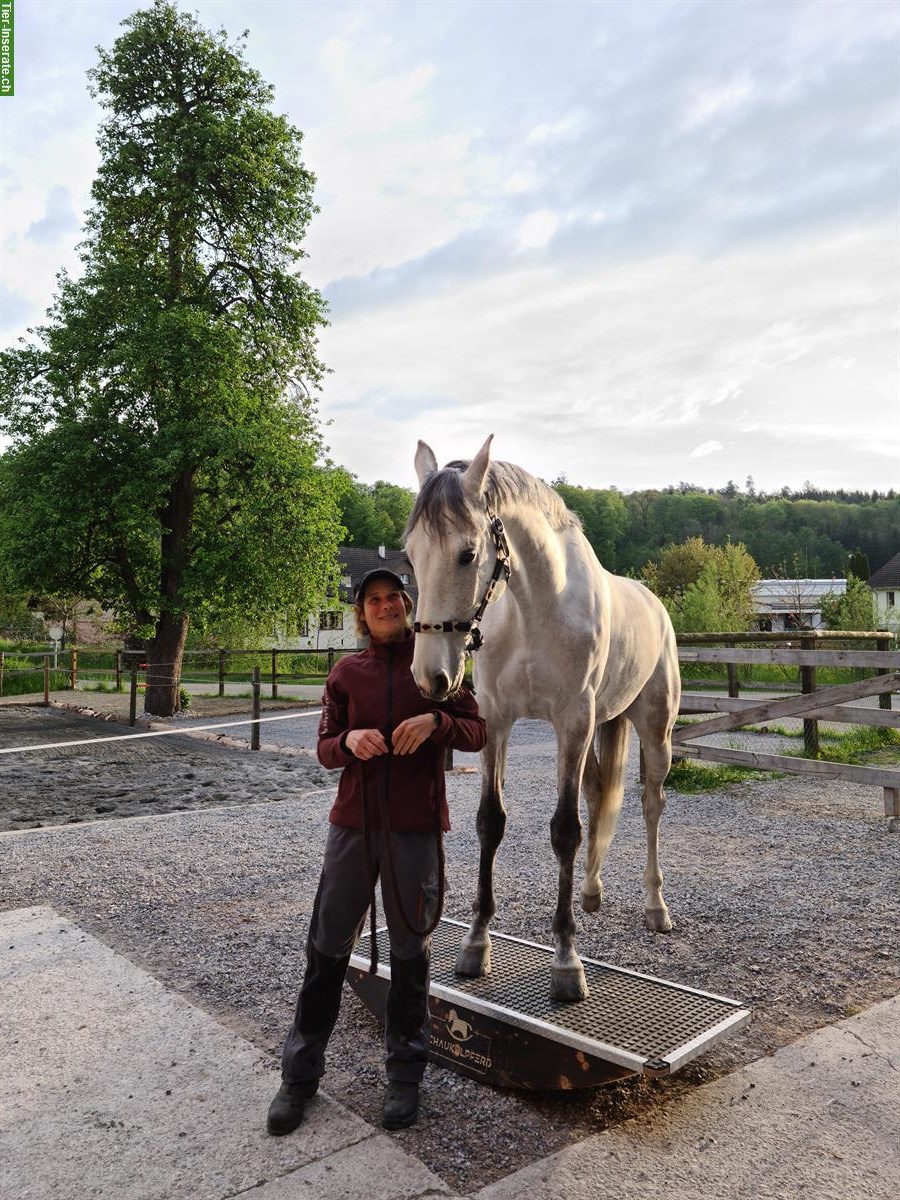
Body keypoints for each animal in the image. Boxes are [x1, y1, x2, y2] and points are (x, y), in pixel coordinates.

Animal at [405, 436, 681, 998]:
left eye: (468, 553)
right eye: (410, 555)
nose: (431, 677)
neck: (533, 608)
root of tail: (655, 603)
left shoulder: (572, 722)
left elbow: (564, 831)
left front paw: (566, 962)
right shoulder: (497, 721)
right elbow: (490, 821)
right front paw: (475, 945)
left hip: (654, 731)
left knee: (650, 804)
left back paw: (656, 906)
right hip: (602, 727)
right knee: (600, 794)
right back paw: (591, 892)